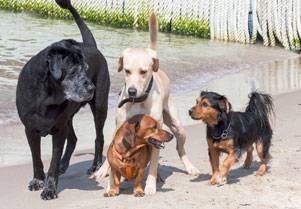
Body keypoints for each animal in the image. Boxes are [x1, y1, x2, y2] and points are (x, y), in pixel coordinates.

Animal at [15, 0, 109, 199]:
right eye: (73, 70)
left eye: (86, 68)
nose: (91, 88)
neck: (46, 96)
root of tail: (91, 45)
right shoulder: (30, 129)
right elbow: (36, 157)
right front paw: (37, 180)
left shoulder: (58, 130)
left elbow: (53, 159)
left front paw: (49, 188)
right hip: (68, 118)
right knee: (73, 139)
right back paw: (64, 166)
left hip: (99, 106)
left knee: (99, 137)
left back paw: (94, 166)